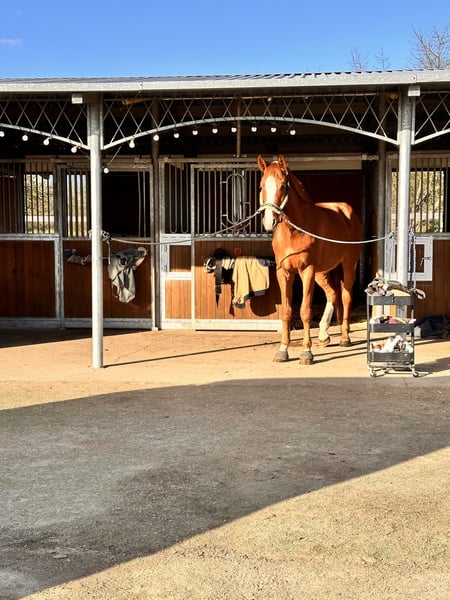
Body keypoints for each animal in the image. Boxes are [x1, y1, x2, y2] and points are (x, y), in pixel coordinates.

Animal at [258, 155, 363, 364]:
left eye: (283, 186)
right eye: (261, 186)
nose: (269, 221)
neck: (294, 232)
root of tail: (347, 212)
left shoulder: (307, 270)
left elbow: (305, 311)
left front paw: (307, 352)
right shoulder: (284, 272)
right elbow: (287, 311)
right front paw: (282, 350)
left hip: (347, 266)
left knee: (346, 297)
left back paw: (344, 338)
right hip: (323, 271)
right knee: (333, 294)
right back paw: (323, 335)